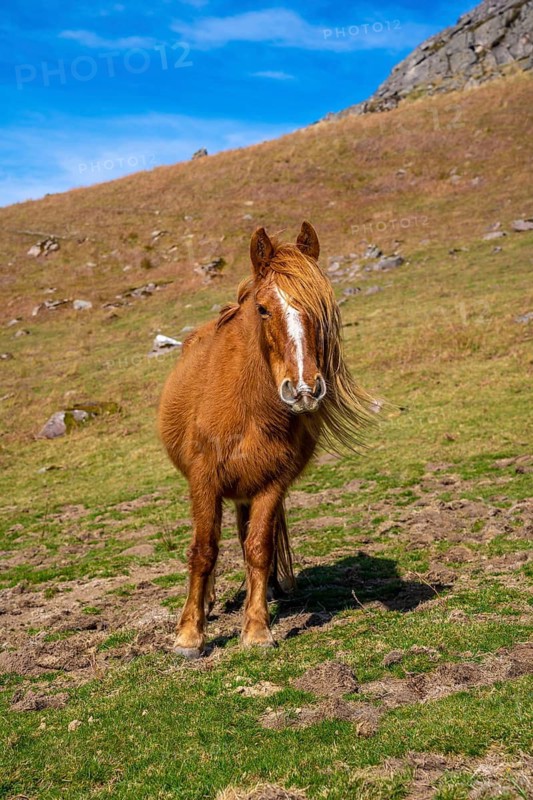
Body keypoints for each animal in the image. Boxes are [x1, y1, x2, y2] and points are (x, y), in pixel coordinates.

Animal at [158, 221, 372, 658]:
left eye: (321, 307)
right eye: (262, 308)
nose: (304, 389)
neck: (247, 406)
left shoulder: (271, 484)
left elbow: (258, 548)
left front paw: (257, 629)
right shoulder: (203, 481)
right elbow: (203, 551)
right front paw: (189, 635)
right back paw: (206, 603)